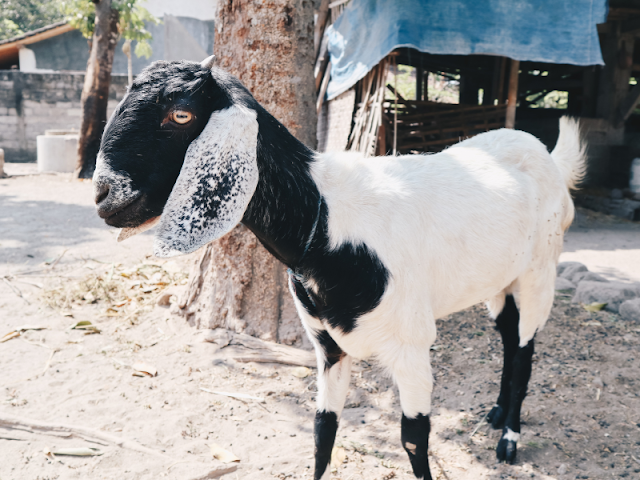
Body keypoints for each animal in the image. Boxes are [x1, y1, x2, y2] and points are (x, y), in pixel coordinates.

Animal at [94, 57, 584, 480]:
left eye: (180, 114)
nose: (103, 195)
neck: (325, 221)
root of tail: (543, 153)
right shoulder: (327, 344)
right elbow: (322, 432)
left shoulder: (411, 345)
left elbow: (413, 439)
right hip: (498, 281)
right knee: (508, 336)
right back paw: (498, 412)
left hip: (540, 272)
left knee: (525, 350)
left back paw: (509, 438)